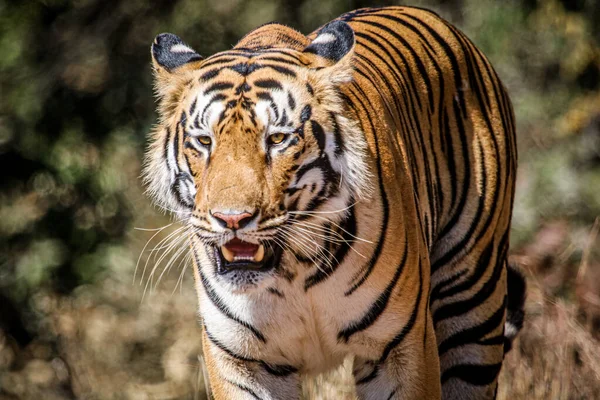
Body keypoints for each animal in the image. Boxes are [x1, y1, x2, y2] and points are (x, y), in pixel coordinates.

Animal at [144, 4, 524, 398]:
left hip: (474, 304)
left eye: (277, 139)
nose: (232, 219)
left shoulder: (401, 347)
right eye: (204, 141)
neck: (293, 271)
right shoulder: (242, 360)